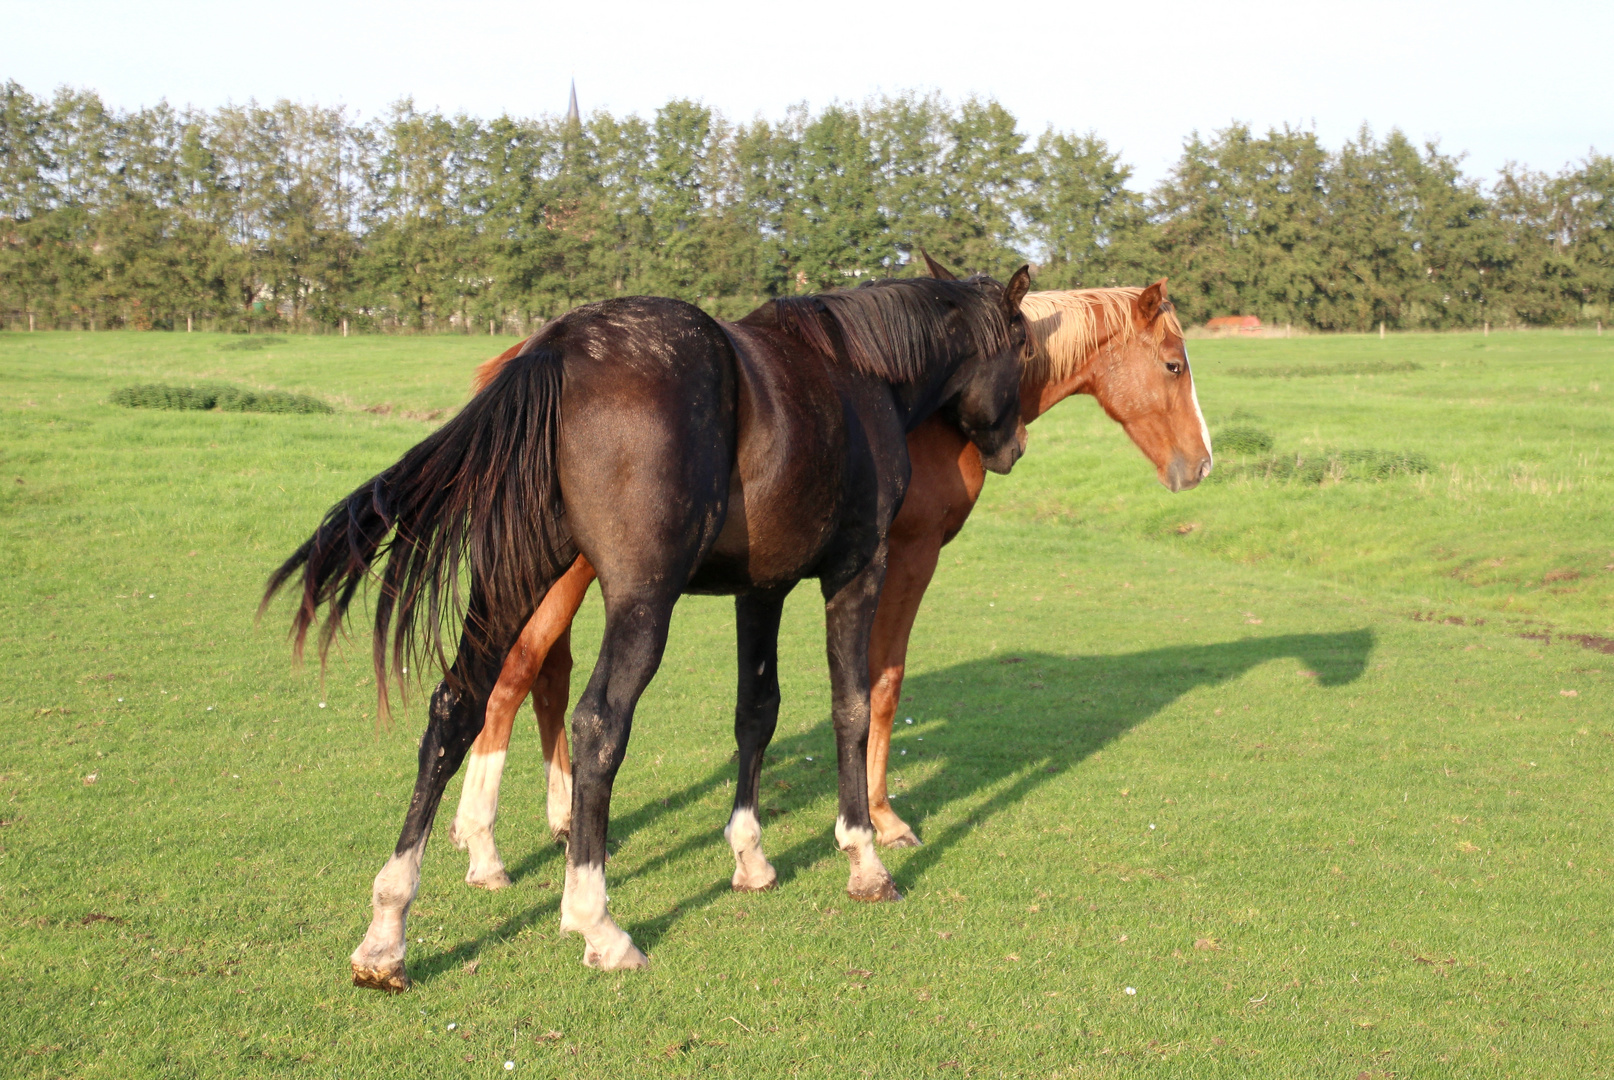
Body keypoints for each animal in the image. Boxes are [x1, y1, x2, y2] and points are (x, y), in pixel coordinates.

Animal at [259, 271, 1026, 987]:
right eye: (1021, 345)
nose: (1013, 447)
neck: (856, 370)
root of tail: (558, 349)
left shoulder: (762, 591)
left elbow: (757, 712)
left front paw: (750, 856)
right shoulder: (857, 571)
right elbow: (852, 707)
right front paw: (865, 859)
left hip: (513, 584)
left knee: (457, 708)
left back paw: (387, 932)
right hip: (640, 601)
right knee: (596, 724)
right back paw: (595, 921)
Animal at [448, 264, 1207, 891]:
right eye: (1174, 365)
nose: (1200, 465)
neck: (909, 398)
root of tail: (531, 357)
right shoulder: (900, 558)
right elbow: (877, 688)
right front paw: (879, 821)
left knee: (541, 675)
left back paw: (554, 821)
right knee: (516, 675)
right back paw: (485, 844)